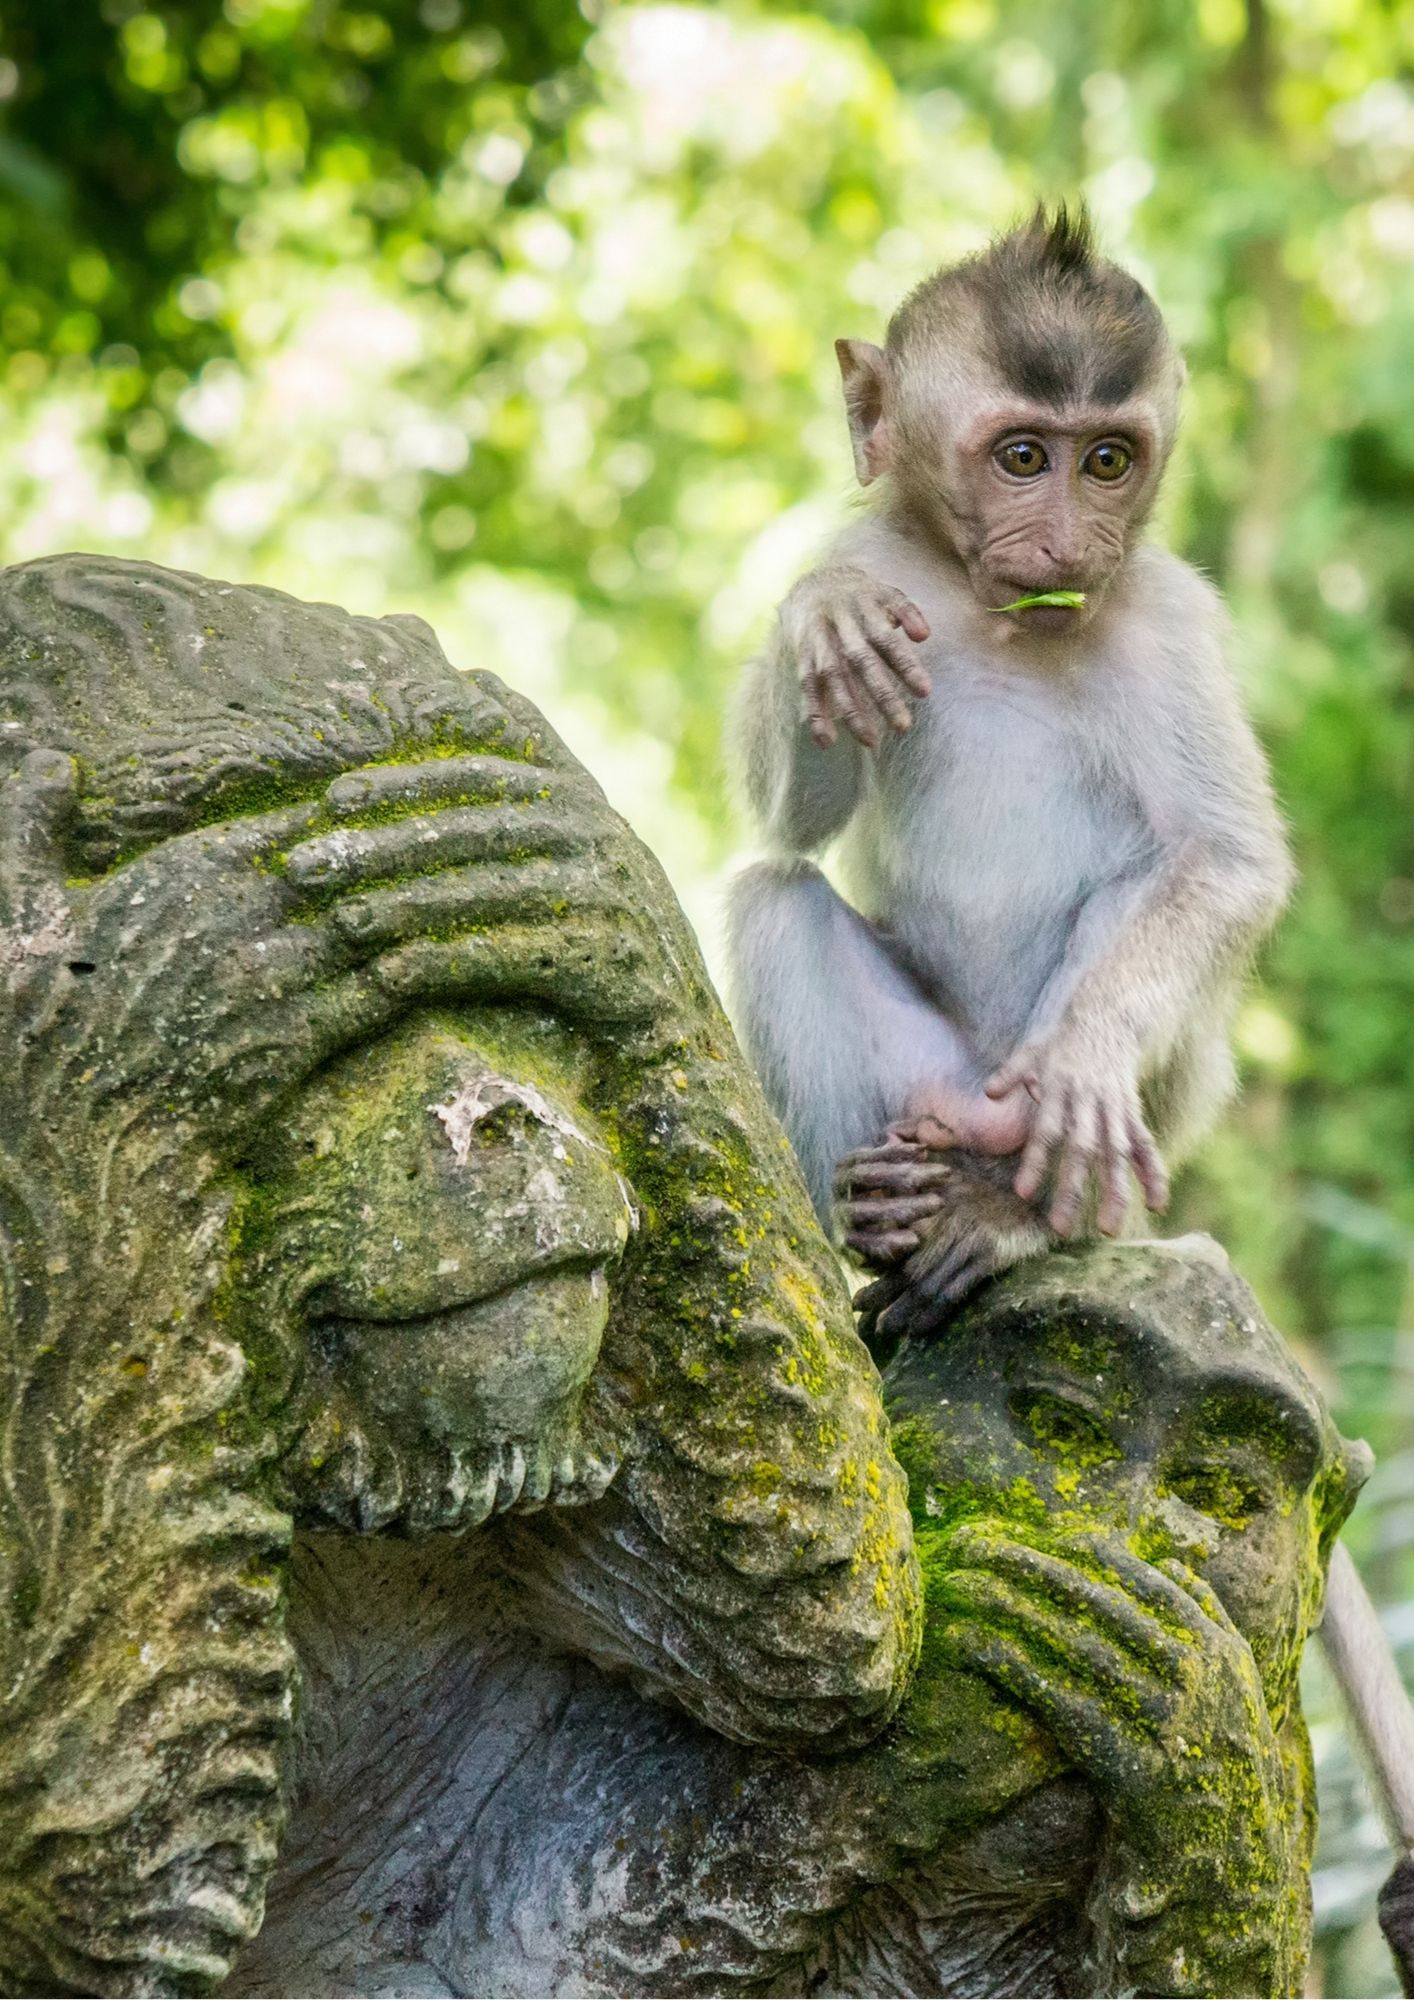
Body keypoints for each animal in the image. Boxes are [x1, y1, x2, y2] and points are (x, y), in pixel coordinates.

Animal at [724, 203, 1293, 1338]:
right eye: (1024, 456)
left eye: (1109, 462)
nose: (1071, 542)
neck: (996, 615)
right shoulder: (875, 554)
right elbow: (790, 823)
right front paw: (820, 616)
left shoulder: (1169, 621)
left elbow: (1227, 859)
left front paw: (1090, 1057)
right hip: (924, 1078)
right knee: (771, 894)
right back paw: (872, 1213)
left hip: (1100, 1119)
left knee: (1147, 892)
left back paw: (1018, 1216)